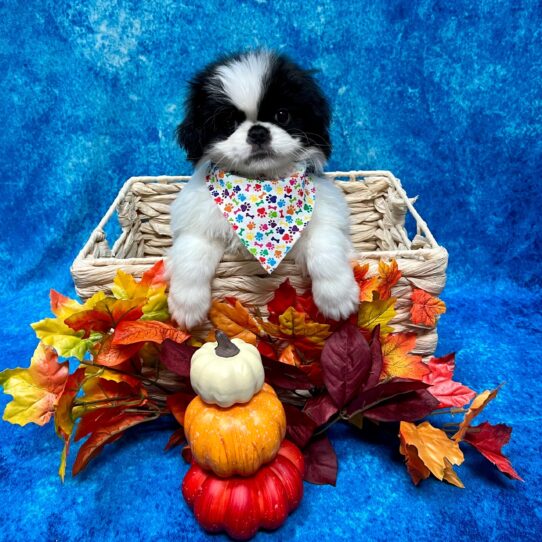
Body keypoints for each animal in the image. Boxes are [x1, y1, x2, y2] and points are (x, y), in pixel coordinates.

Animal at [168, 51, 360, 330]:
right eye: (229, 122)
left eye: (282, 115)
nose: (258, 131)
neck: (262, 185)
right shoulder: (199, 223)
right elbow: (191, 256)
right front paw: (186, 305)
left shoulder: (324, 214)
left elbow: (326, 248)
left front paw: (337, 297)